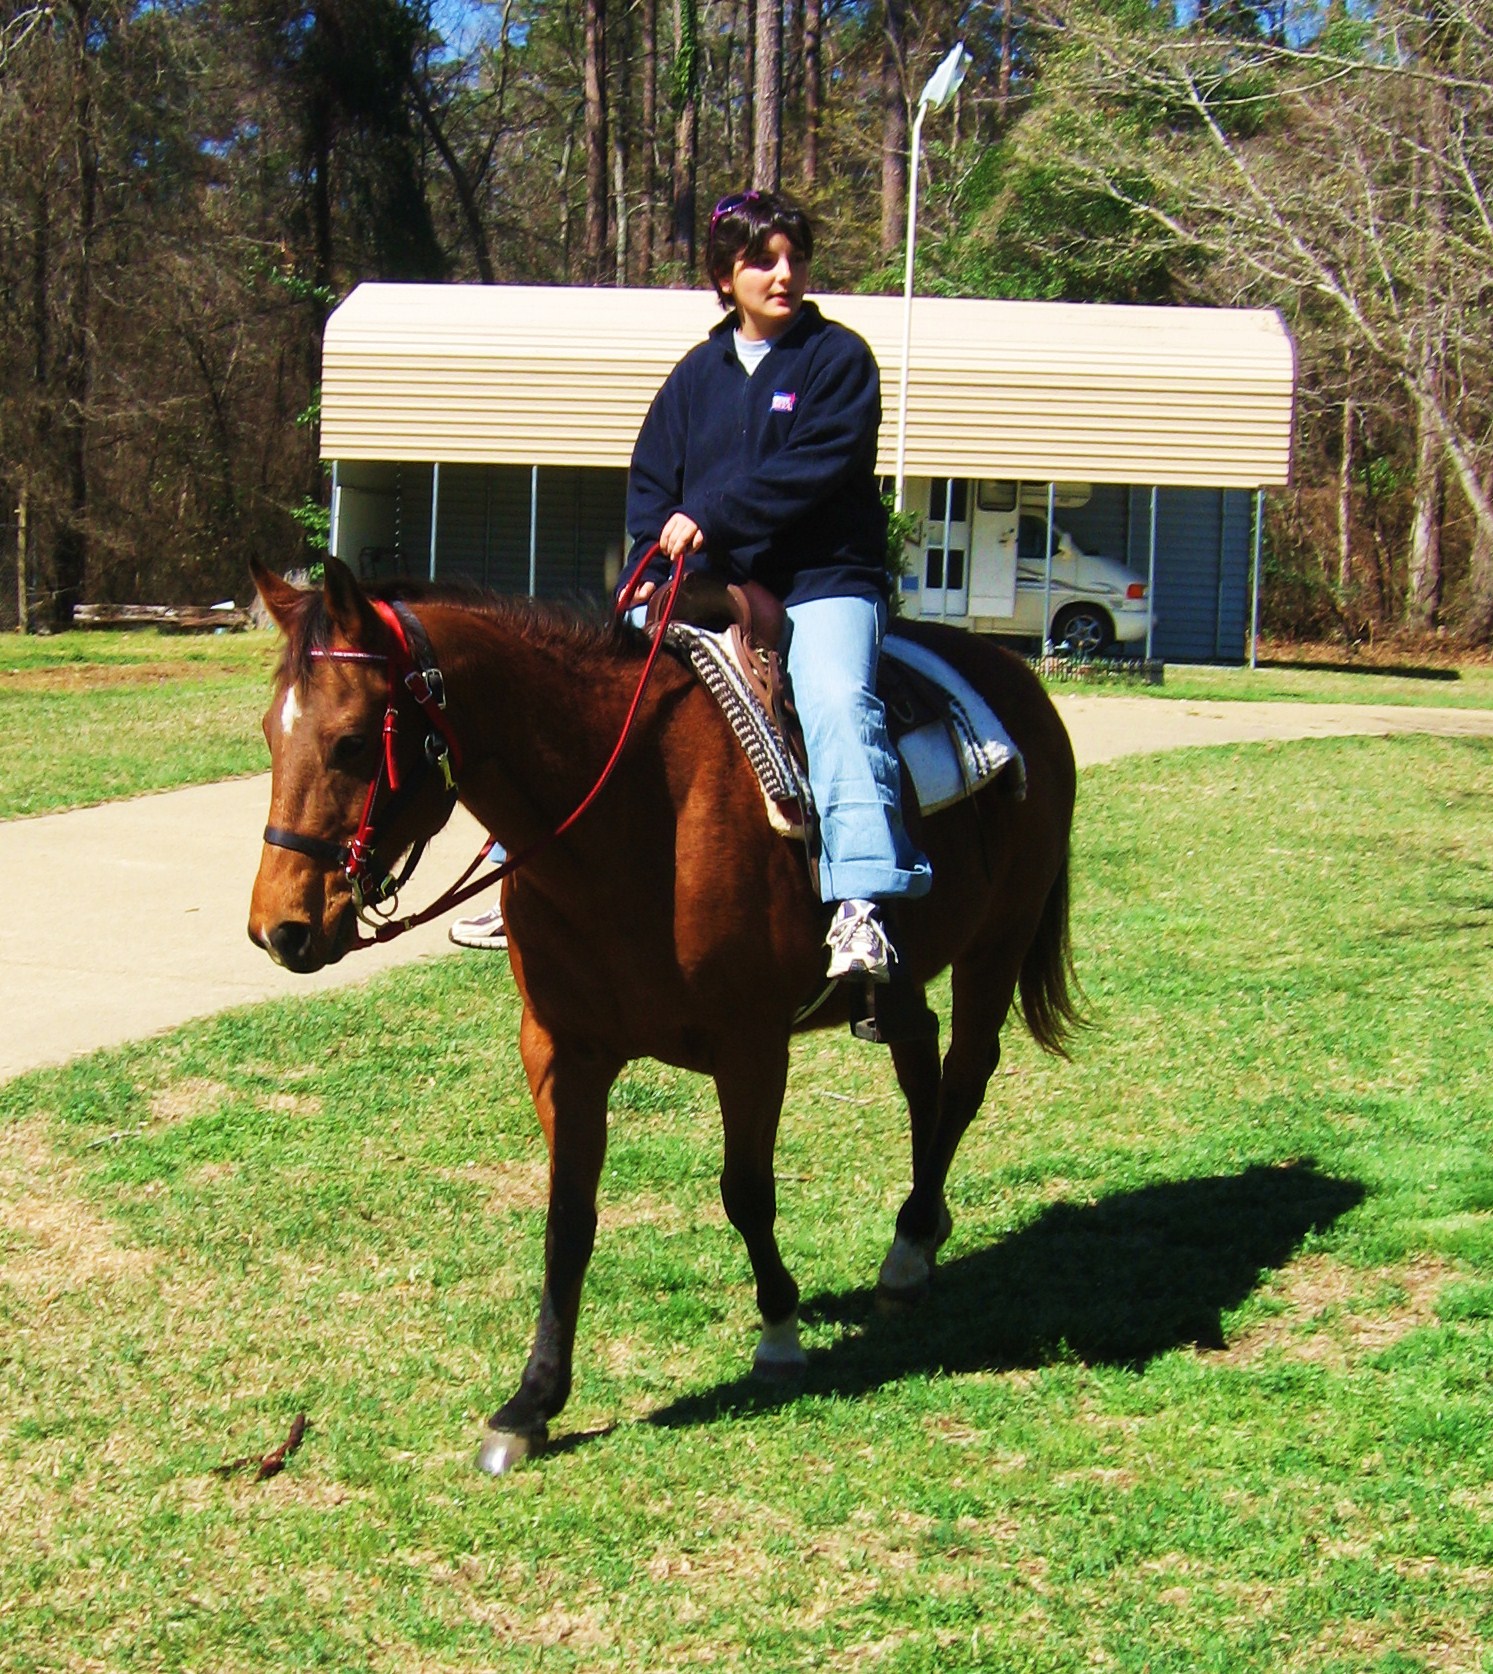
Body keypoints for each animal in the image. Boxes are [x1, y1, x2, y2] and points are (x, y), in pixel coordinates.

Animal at [247, 555, 1080, 1473]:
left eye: (354, 742)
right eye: (269, 736)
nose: (280, 929)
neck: (636, 822)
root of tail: (1017, 679)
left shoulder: (750, 1047)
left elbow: (746, 1192)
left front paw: (779, 1332)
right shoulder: (561, 1050)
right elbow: (568, 1219)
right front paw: (532, 1402)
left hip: (996, 943)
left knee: (964, 1076)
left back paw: (908, 1242)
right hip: (900, 979)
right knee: (919, 1063)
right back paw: (919, 1241)